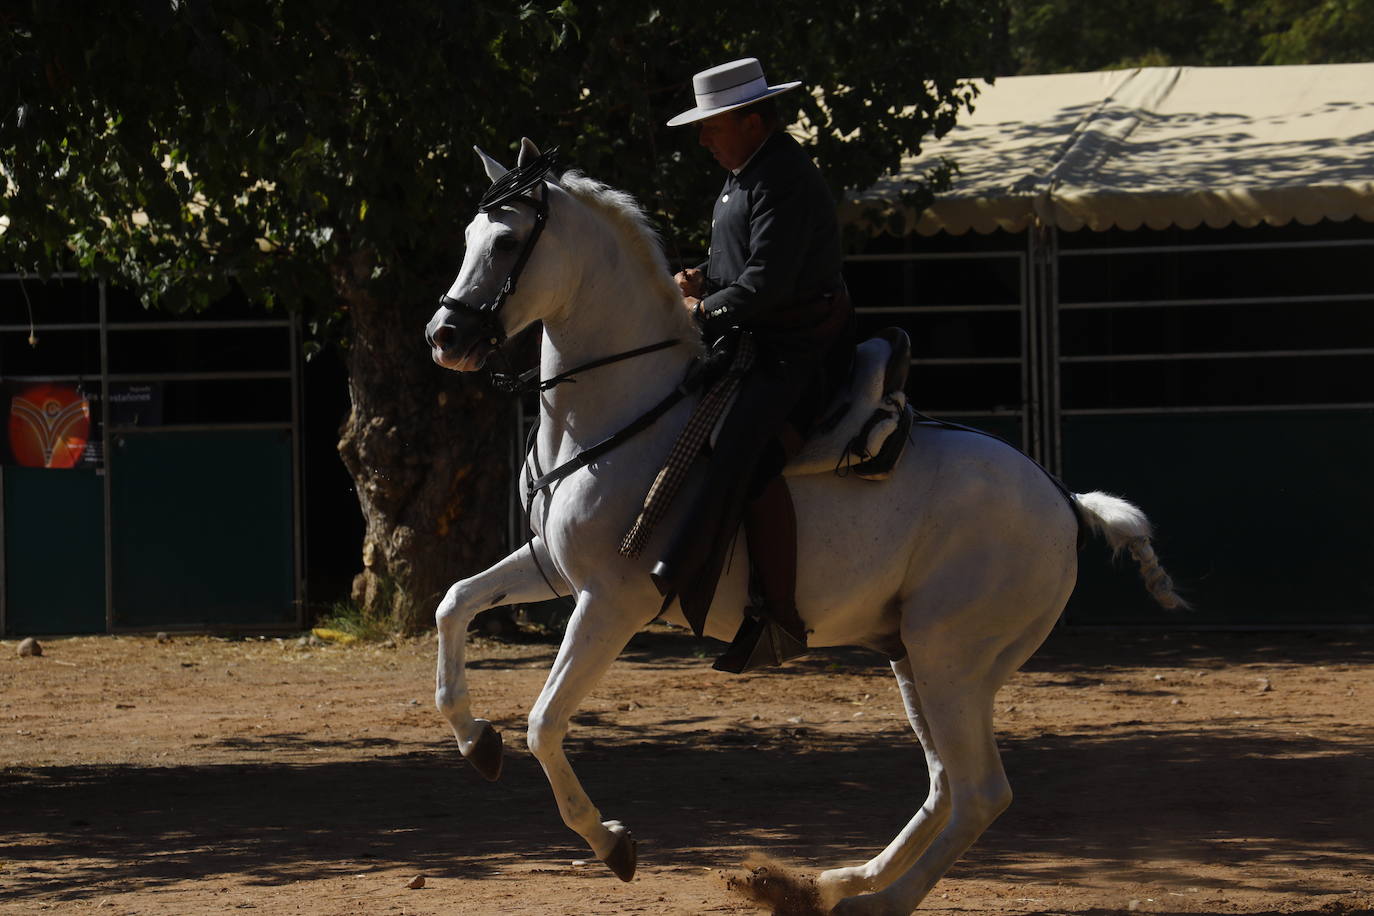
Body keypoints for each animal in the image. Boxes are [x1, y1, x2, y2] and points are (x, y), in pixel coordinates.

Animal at [425, 140, 1181, 911]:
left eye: (507, 241)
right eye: (469, 236)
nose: (445, 337)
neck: (629, 411)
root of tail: (1064, 500)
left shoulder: (612, 602)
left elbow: (544, 723)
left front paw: (610, 841)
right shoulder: (552, 568)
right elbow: (453, 603)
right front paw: (475, 740)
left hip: (951, 660)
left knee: (979, 793)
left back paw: (877, 902)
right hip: (920, 660)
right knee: (945, 785)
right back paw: (840, 880)